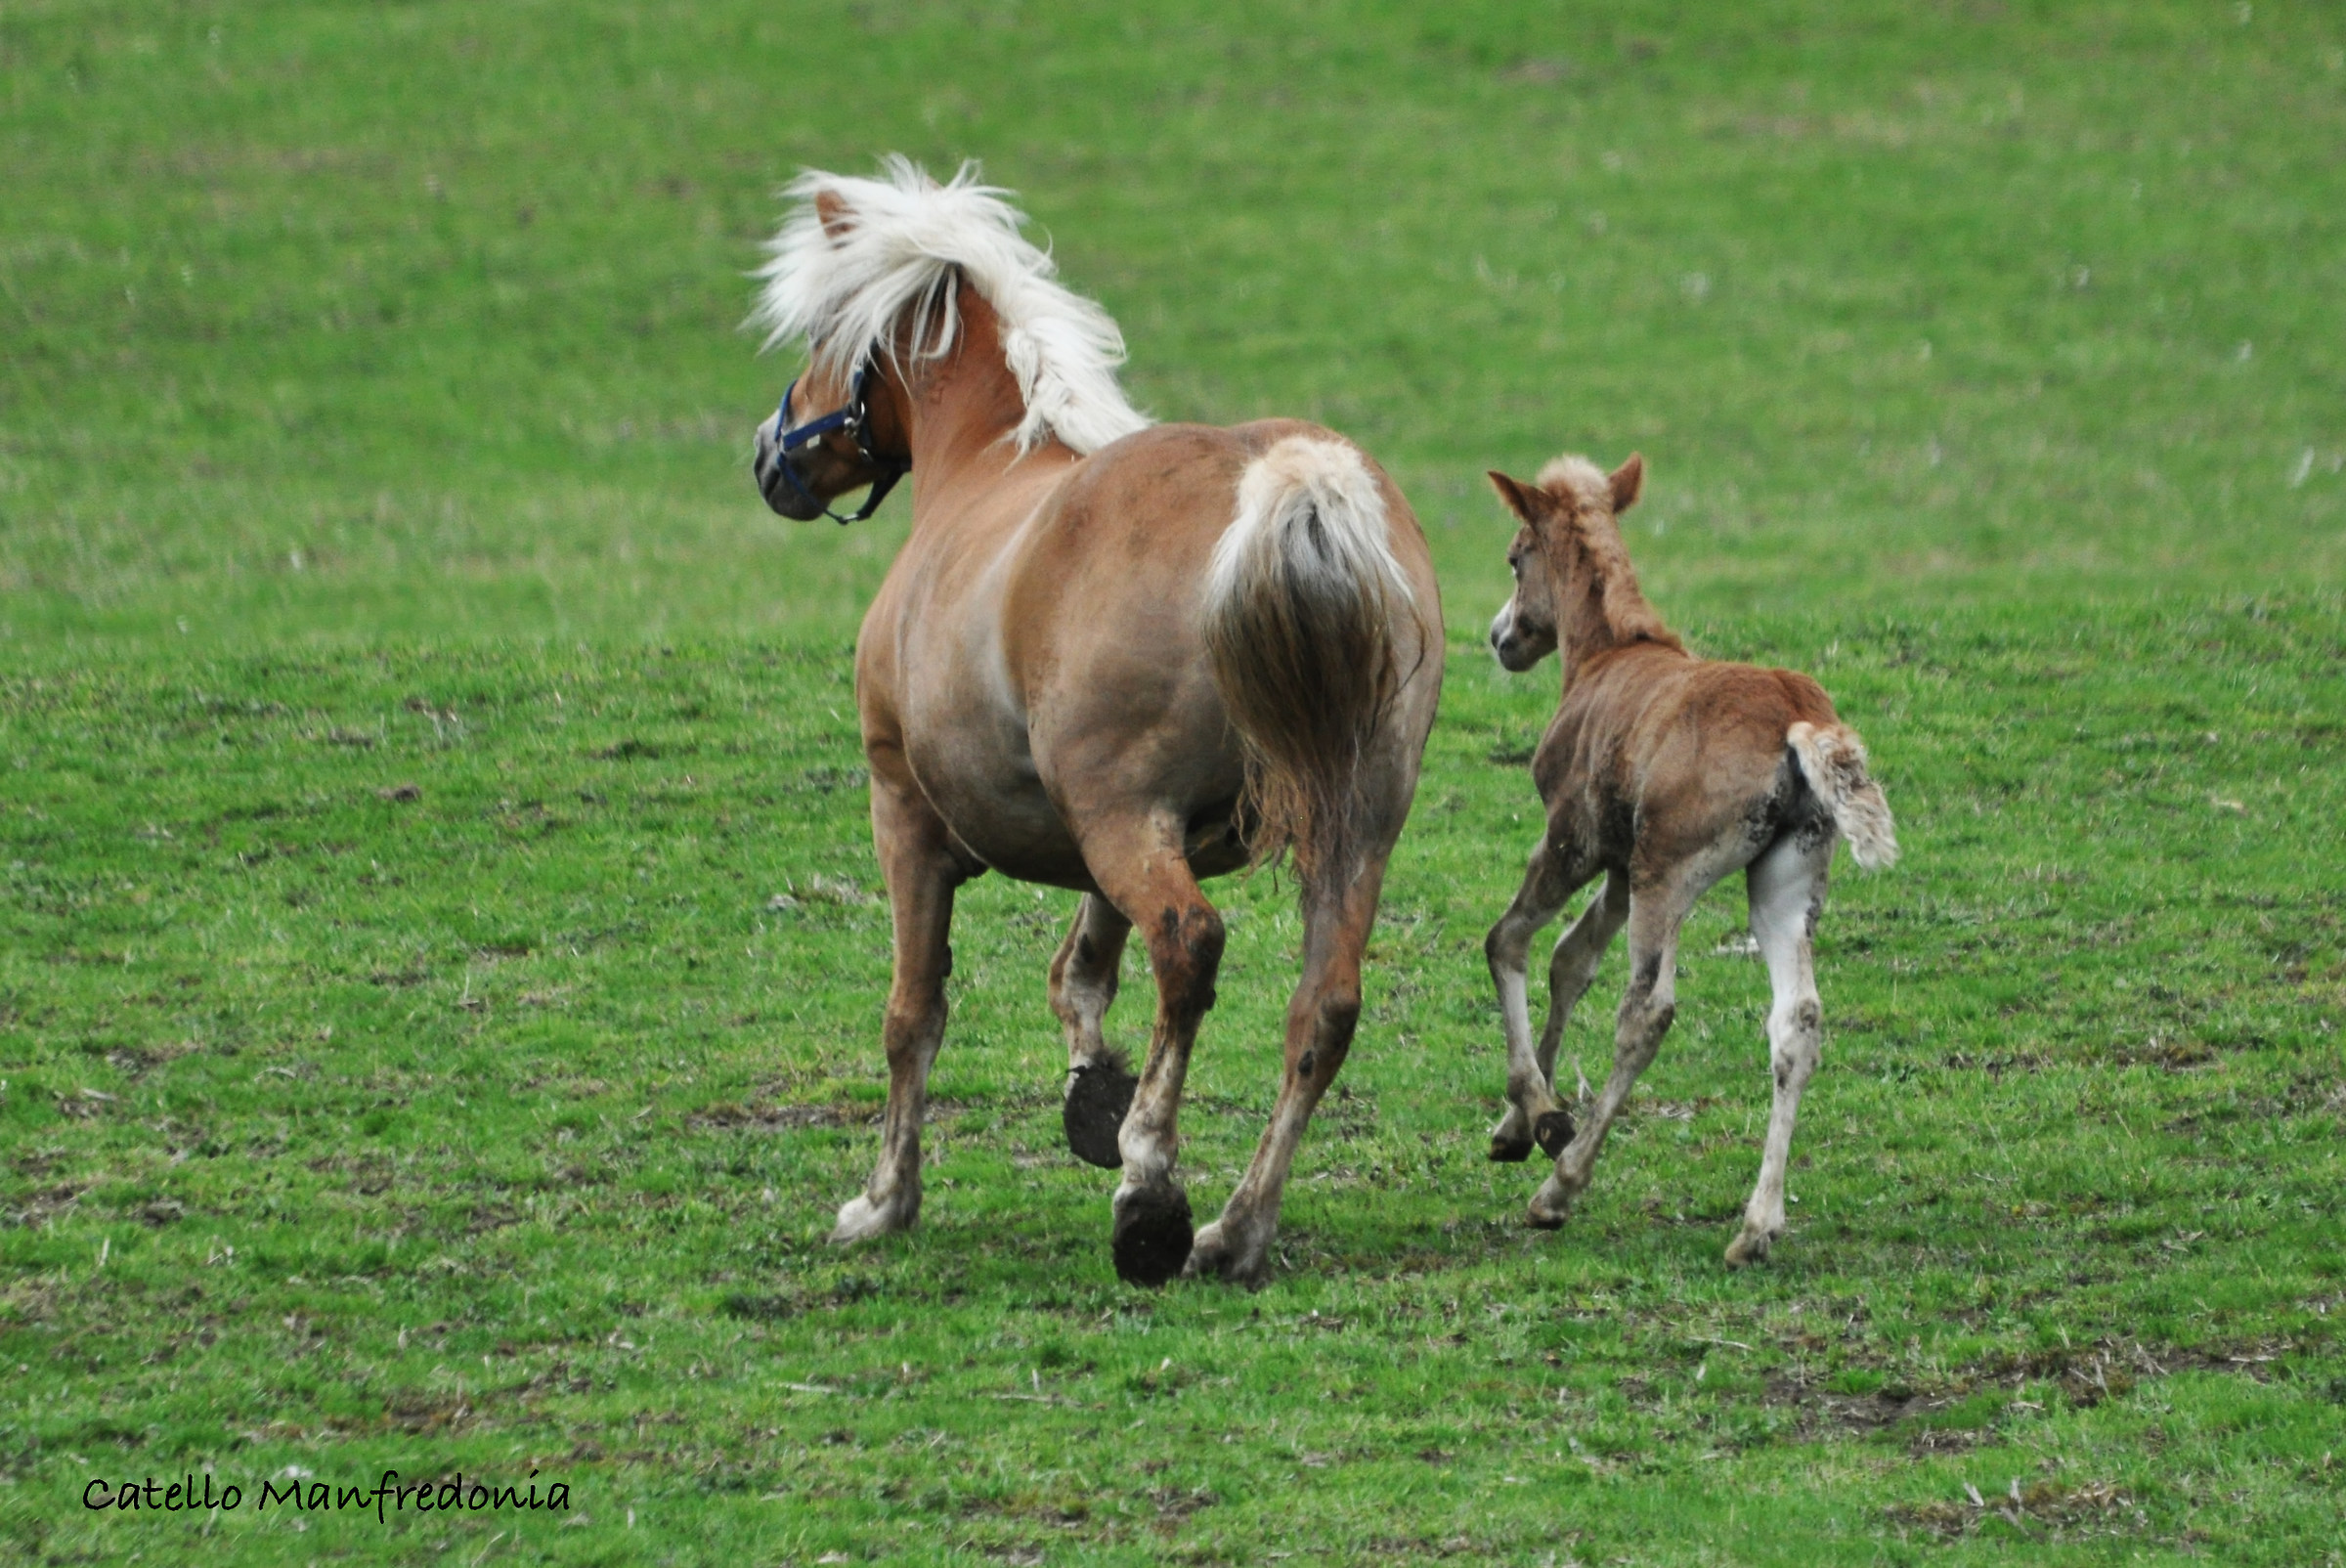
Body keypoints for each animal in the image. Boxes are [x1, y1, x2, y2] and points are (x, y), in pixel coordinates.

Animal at [747, 160, 1443, 1285]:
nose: (772, 456)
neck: (985, 467)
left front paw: (887, 1198)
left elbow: (914, 1013)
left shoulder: (906, 815)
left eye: (821, 335)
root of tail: (1286, 483)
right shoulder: (1093, 839)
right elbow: (1080, 973)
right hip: (1349, 825)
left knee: (1189, 946)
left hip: (1131, 819)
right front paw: (1092, 1095)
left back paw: (1151, 1192)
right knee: (1322, 1010)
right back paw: (1236, 1227)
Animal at [1479, 454, 1896, 1266]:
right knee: (1797, 1020)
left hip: (1667, 875)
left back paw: (1561, 1190)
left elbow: (1509, 941)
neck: (1608, 653)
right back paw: (1757, 1227)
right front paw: (1518, 1125)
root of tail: (1801, 717)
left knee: (1649, 1010)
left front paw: (1542, 1117)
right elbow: (1570, 961)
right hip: (1782, 882)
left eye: (1516, 556)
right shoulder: (1617, 865)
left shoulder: (1575, 840)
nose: (1500, 637)